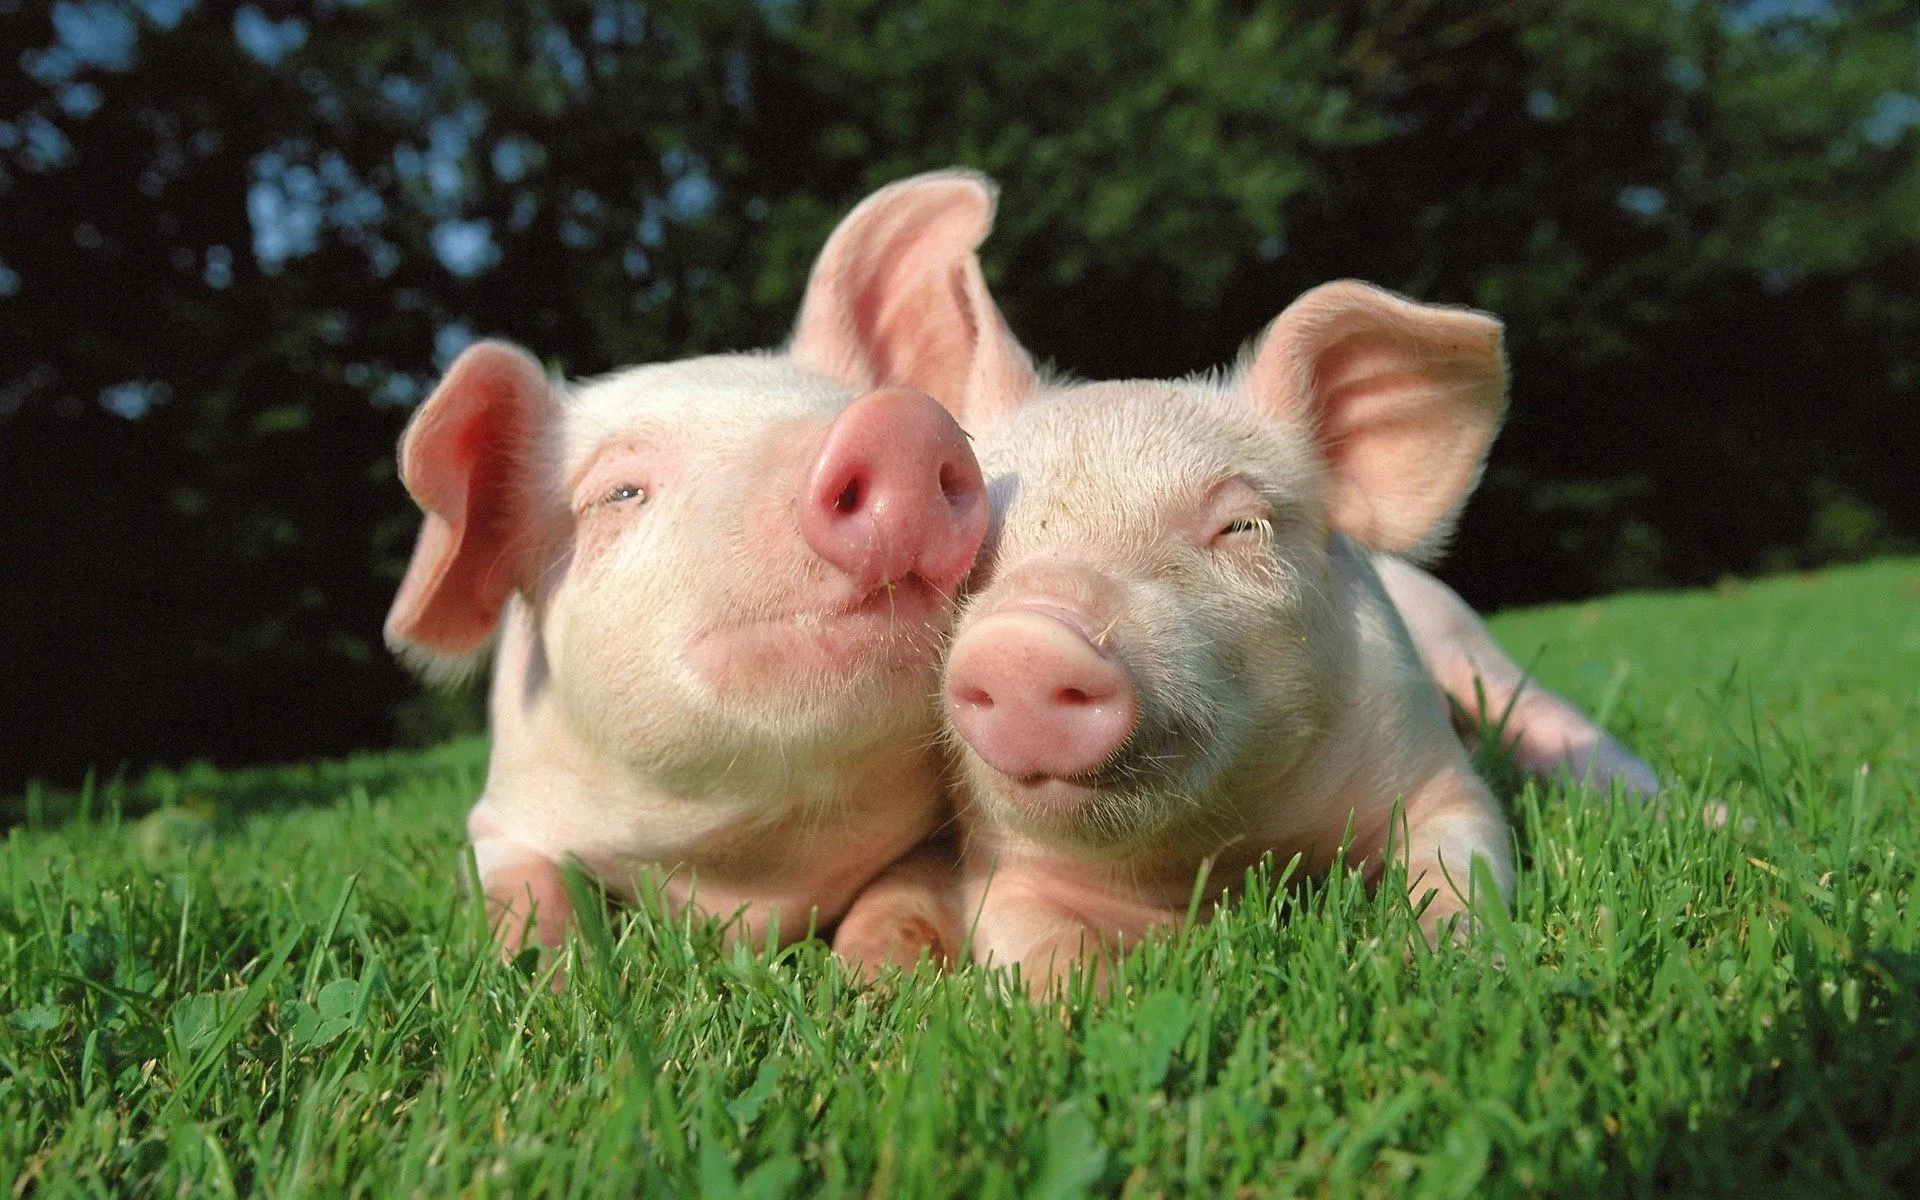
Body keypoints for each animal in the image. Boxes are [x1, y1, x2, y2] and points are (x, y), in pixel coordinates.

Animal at [835, 278, 1563, 990]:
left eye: (1241, 526)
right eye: (974, 546)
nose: (1024, 643)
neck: (1218, 857)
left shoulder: (1433, 767)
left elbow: (1461, 861)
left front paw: (1439, 963)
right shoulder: (1004, 866)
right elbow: (1036, 949)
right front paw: (1075, 1007)